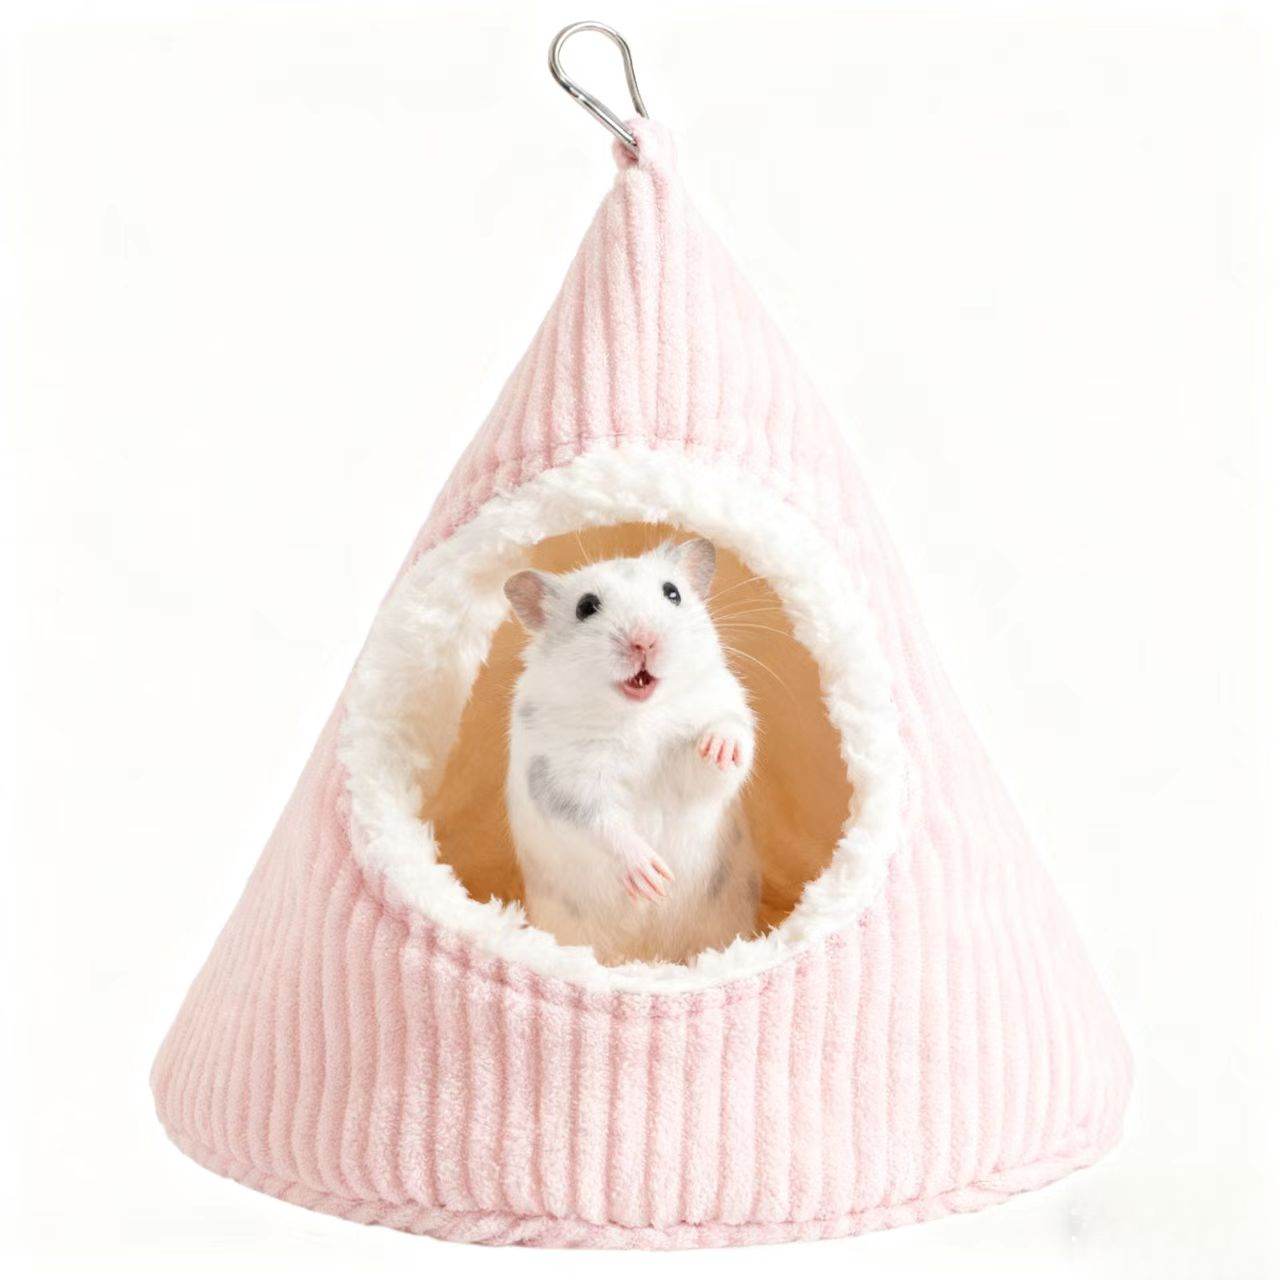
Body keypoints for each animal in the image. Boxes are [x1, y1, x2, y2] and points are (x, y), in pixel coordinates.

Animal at [503, 537, 760, 966]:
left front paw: (721, 746)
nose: (644, 640)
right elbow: (601, 824)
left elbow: (720, 756)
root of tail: (648, 956)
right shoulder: (561, 782)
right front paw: (655, 879)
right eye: (586, 607)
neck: (640, 715)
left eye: (672, 593)